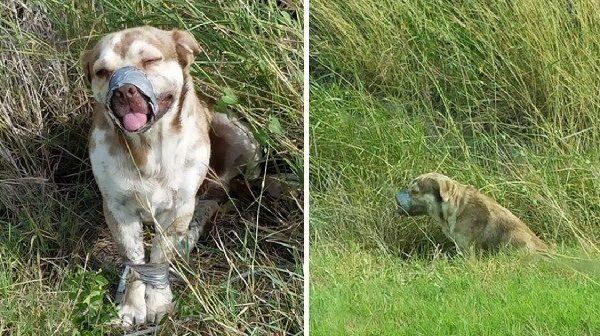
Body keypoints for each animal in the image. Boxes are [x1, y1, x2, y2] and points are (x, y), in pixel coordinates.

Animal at [80, 26, 258, 326]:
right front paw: (132, 305)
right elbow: (136, 261)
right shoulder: (118, 209)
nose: (125, 91)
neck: (148, 147)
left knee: (215, 197)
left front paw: (159, 302)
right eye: (102, 72)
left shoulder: (178, 207)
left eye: (151, 60)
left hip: (240, 135)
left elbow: (159, 256)